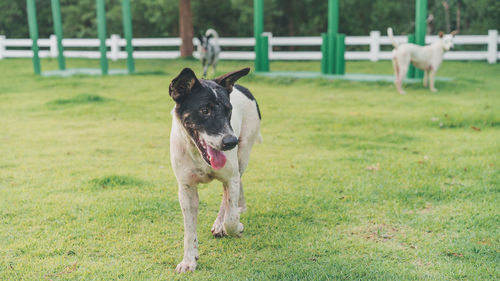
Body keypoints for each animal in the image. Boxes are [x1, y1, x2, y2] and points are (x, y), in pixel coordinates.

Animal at [169, 66, 262, 272]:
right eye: (205, 110)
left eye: (229, 110)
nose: (230, 142)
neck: (199, 157)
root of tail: (241, 86)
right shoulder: (186, 188)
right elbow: (189, 230)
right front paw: (189, 260)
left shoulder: (231, 176)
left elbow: (231, 218)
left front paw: (233, 226)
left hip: (244, 152)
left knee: (232, 190)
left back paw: (223, 221)